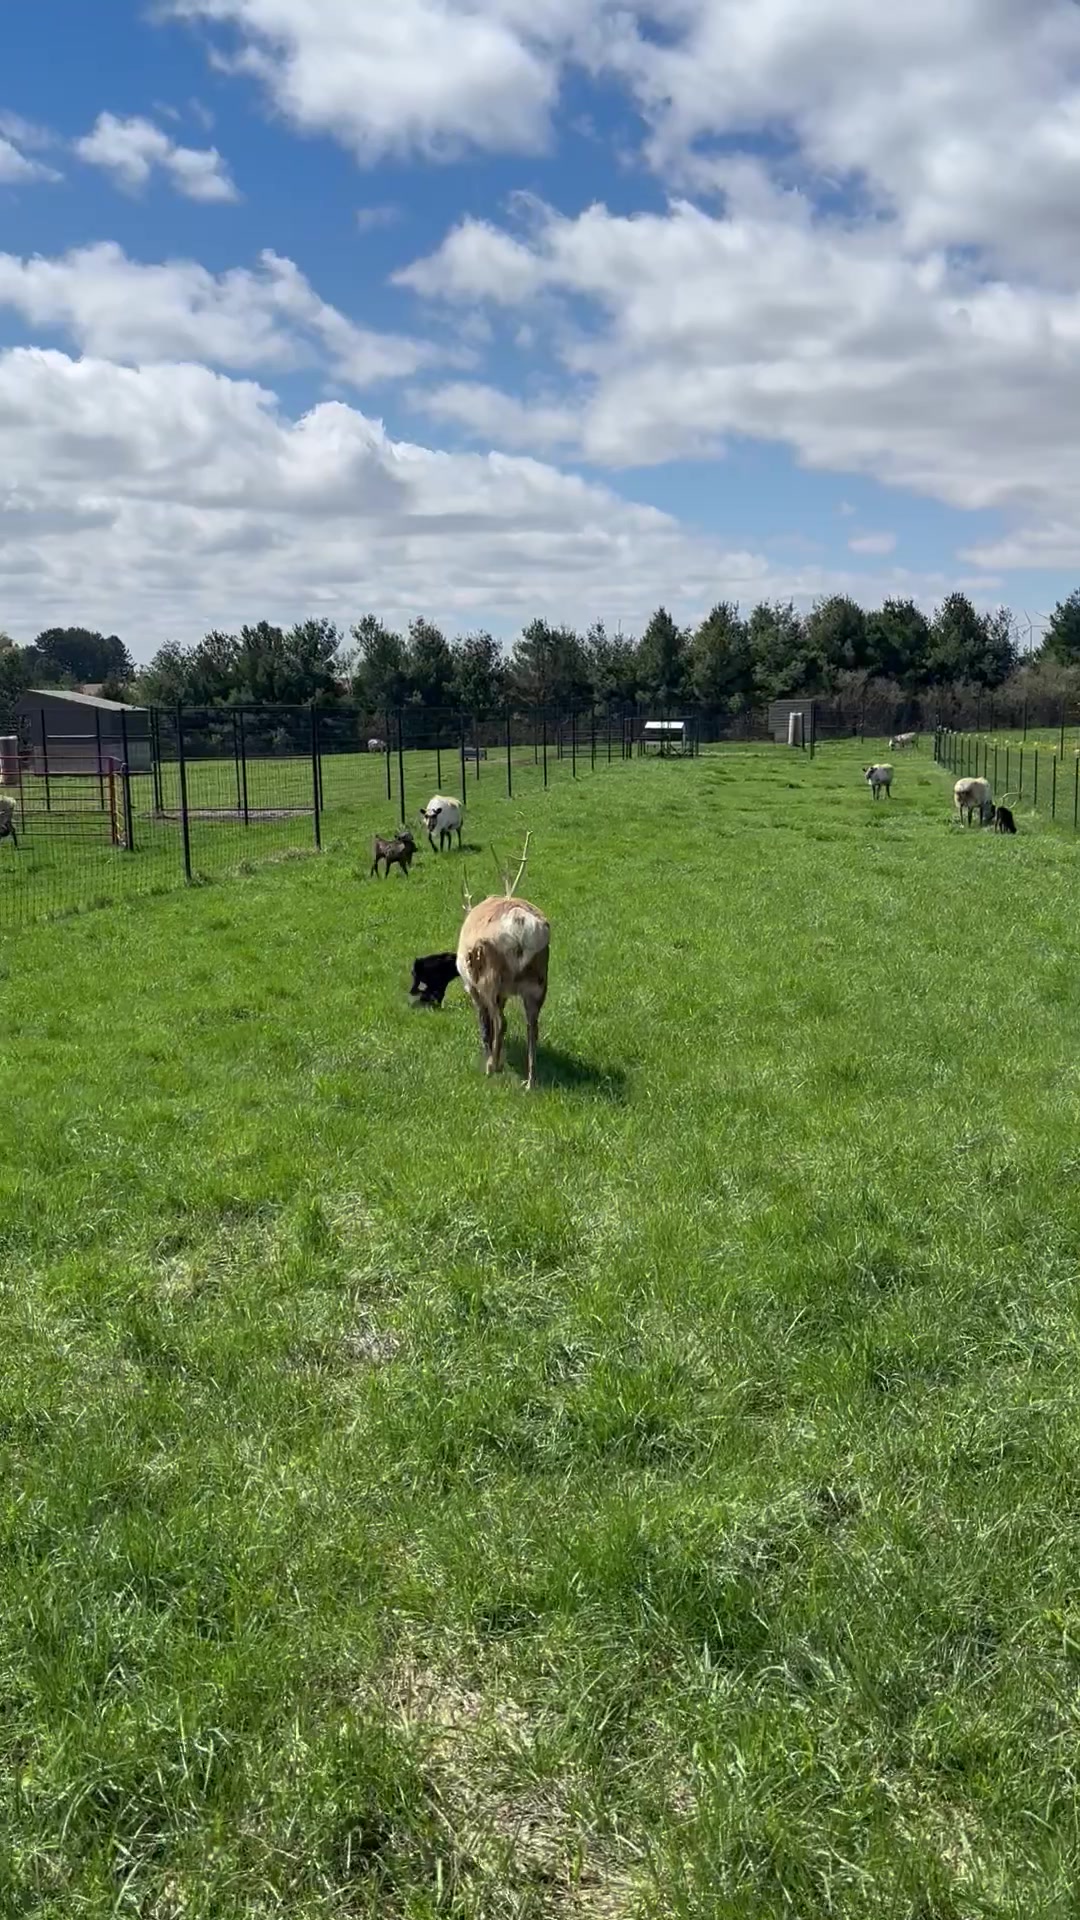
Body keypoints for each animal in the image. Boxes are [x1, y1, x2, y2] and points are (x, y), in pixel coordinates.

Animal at [456, 835, 549, 1090]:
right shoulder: (506, 994)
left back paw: (492, 1066)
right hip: (538, 981)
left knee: (501, 1021)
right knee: (532, 1026)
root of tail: (520, 923)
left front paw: (486, 1051)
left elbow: (484, 1021)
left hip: (492, 979)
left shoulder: (471, 986)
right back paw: (530, 1080)